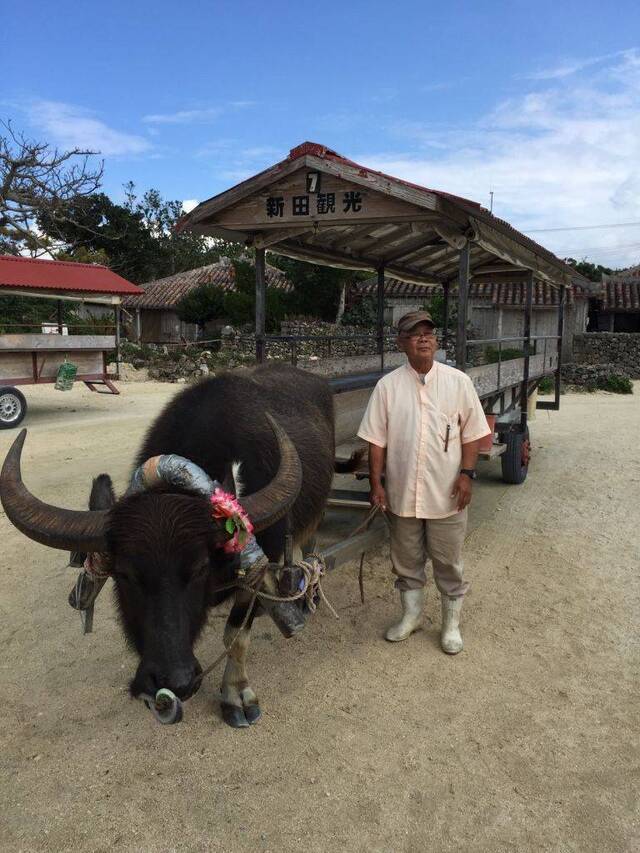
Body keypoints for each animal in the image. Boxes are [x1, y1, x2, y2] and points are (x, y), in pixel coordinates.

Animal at [0, 364, 356, 724]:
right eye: (125, 574)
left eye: (199, 568)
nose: (174, 681)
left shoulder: (259, 564)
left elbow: (235, 635)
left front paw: (236, 696)